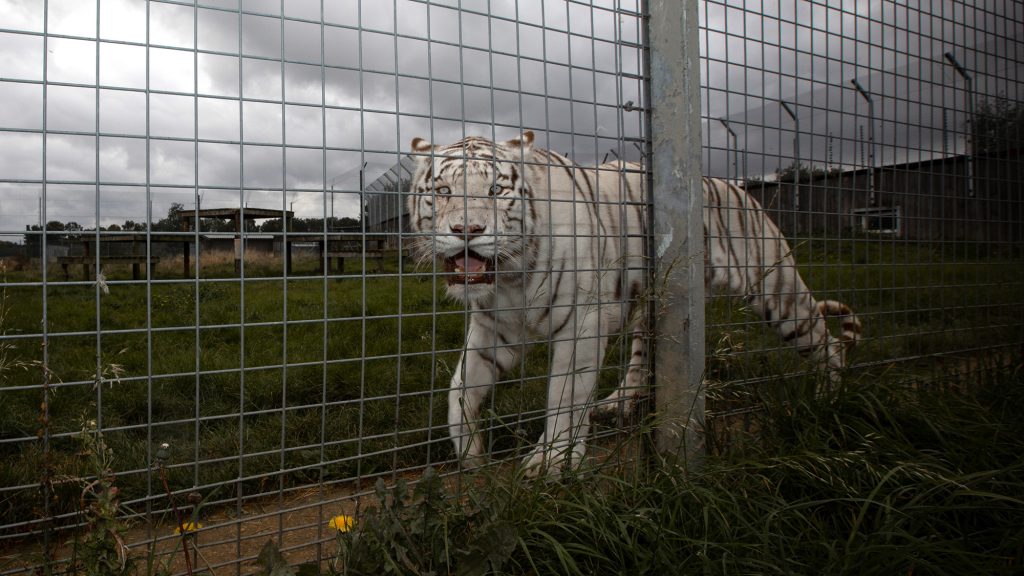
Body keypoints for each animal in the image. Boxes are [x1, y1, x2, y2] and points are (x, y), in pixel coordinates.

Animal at [403, 131, 860, 475]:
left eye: (497, 191)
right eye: (442, 192)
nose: (467, 230)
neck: (510, 278)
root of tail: (738, 187)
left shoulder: (581, 325)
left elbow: (565, 397)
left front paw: (552, 462)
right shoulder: (494, 329)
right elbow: (461, 388)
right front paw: (469, 453)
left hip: (777, 291)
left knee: (827, 341)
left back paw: (829, 398)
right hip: (656, 304)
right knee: (642, 357)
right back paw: (616, 403)